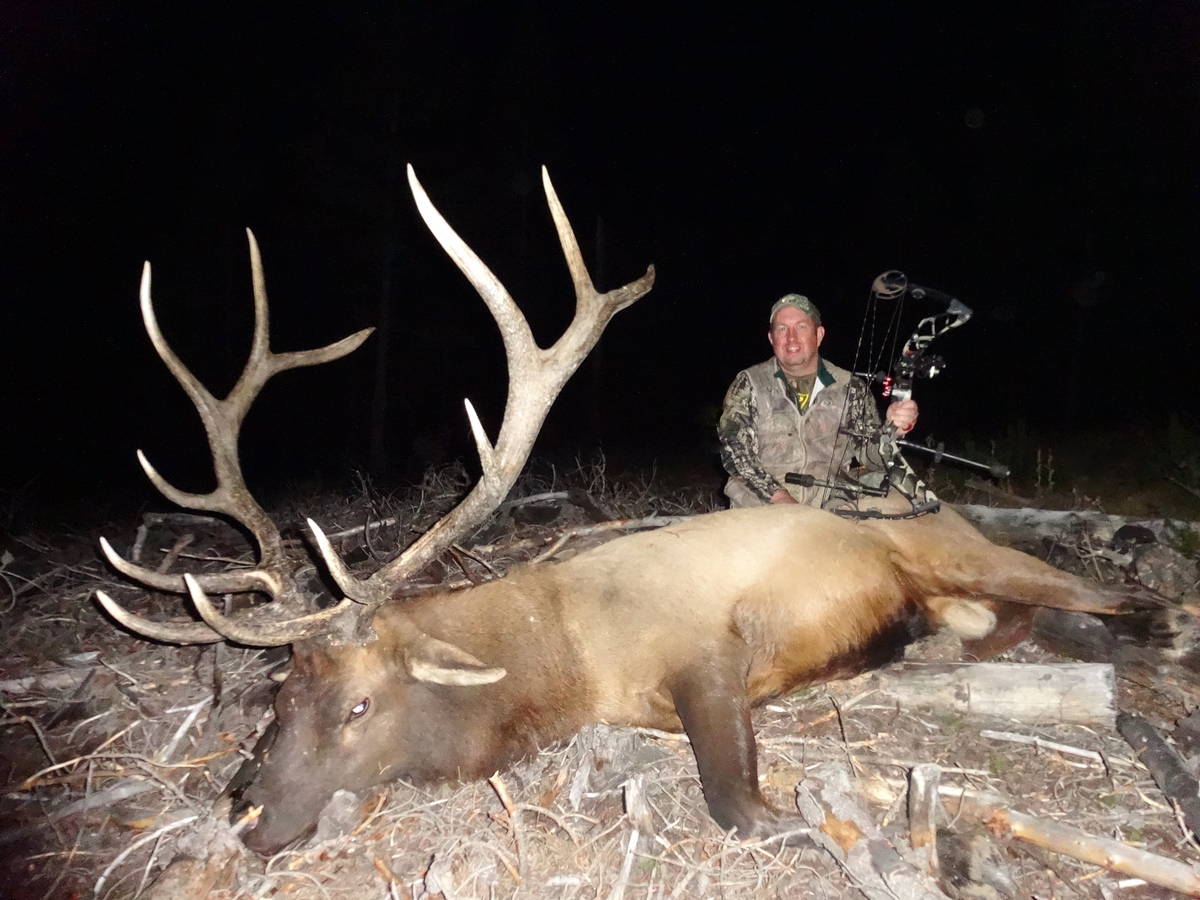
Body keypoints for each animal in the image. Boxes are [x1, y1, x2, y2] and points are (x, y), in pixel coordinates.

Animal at [98, 165, 1147, 854]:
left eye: (359, 704)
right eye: (280, 697)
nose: (245, 813)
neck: (567, 658)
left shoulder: (708, 654)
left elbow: (737, 803)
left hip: (957, 545)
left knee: (1097, 595)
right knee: (1018, 619)